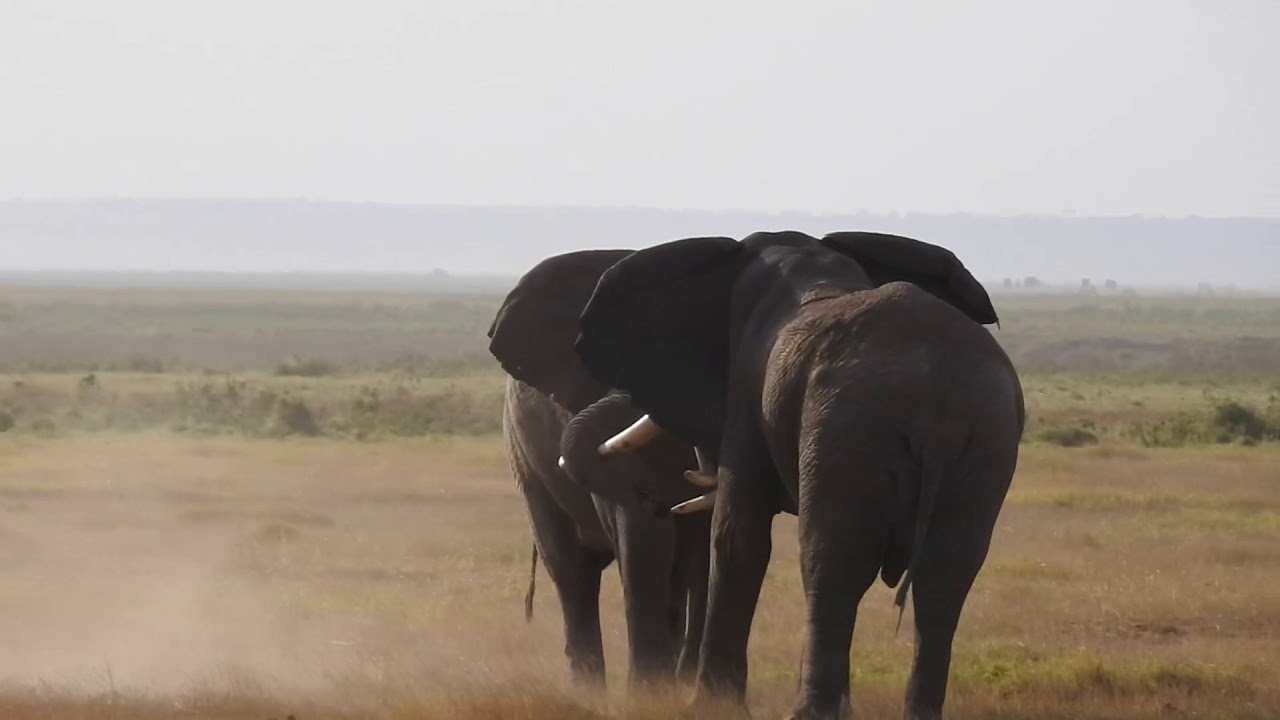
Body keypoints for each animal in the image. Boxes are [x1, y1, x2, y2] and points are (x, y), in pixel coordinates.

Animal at [572, 231, 1025, 719]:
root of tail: (934, 403)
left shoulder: (746, 396)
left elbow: (736, 536)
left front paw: (711, 705)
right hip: (989, 431)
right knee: (946, 574)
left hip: (848, 426)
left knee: (833, 560)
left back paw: (808, 713)